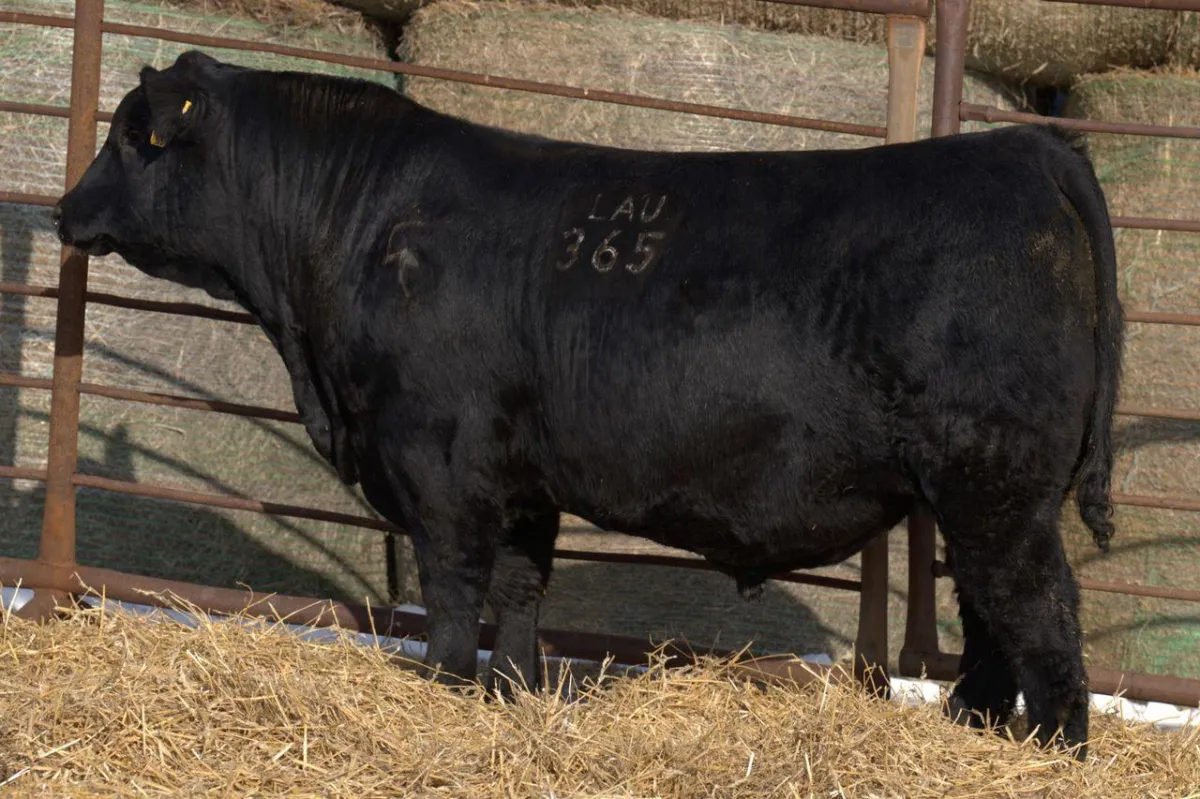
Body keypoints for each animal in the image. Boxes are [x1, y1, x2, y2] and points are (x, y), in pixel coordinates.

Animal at [54, 51, 1121, 759]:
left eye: (133, 136)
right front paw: (513, 692)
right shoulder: (522, 476)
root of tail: (1026, 149)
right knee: (990, 618)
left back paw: (1048, 753)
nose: (65, 210)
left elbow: (455, 586)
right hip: (973, 493)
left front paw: (445, 686)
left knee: (1041, 616)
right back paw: (975, 733)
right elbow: (523, 588)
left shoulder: (437, 461)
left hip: (996, 486)